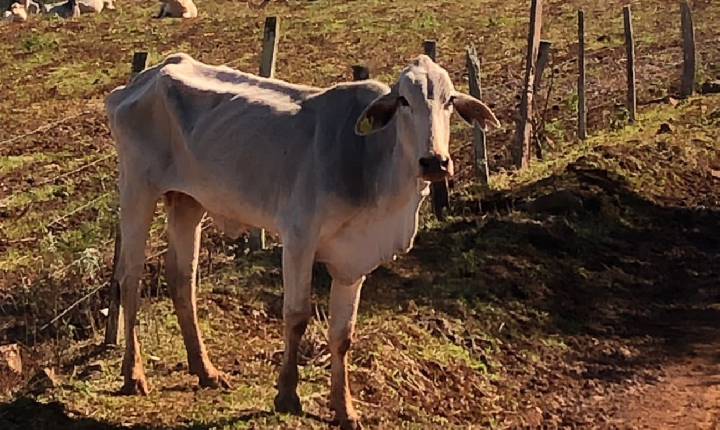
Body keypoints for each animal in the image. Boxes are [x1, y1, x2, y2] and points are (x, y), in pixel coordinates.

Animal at [105, 52, 500, 428]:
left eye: (450, 100)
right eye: (404, 100)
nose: (435, 162)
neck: (369, 162)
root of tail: (143, 79)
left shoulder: (352, 263)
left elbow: (343, 335)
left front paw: (345, 410)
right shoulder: (298, 238)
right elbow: (296, 316)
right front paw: (287, 396)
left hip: (187, 202)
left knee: (181, 278)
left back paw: (206, 370)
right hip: (137, 189)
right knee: (129, 278)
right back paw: (134, 374)